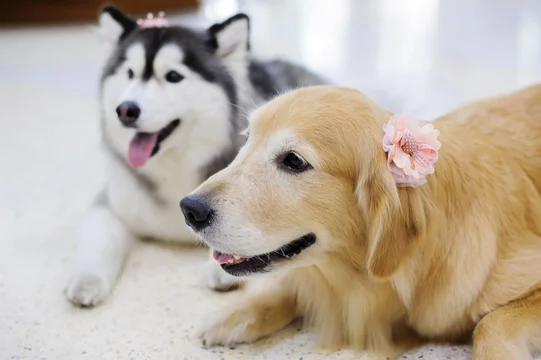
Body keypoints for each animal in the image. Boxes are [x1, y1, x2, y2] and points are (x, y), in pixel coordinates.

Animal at [63, 5, 324, 306]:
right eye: (129, 73)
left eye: (174, 76)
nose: (125, 110)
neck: (175, 164)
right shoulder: (111, 204)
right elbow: (101, 239)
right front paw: (87, 280)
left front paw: (220, 268)